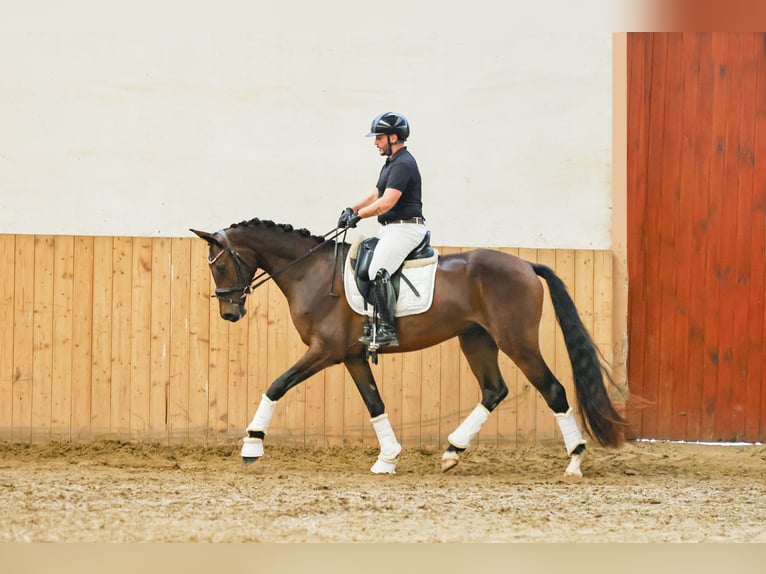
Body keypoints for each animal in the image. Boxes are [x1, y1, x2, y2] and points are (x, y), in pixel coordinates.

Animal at [194, 218, 632, 480]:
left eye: (221, 265)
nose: (229, 313)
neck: (311, 272)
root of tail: (526, 266)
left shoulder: (324, 351)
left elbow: (276, 385)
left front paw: (252, 444)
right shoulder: (352, 356)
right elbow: (375, 403)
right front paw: (387, 458)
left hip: (516, 341)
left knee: (552, 389)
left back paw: (574, 460)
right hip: (476, 339)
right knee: (494, 390)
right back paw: (452, 451)